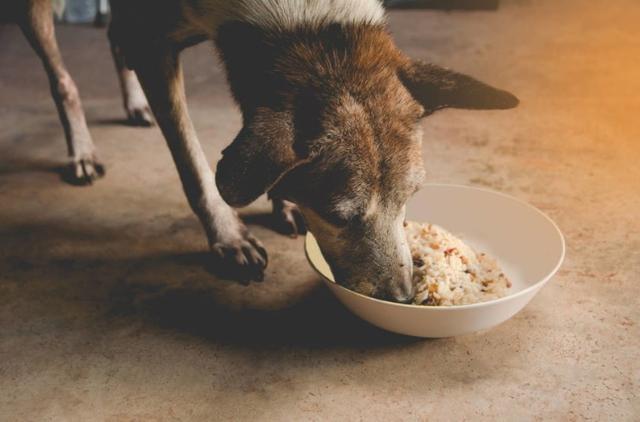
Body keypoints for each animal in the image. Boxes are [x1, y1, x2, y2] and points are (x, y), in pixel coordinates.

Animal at [5, 0, 516, 304]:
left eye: (410, 199)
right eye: (340, 216)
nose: (403, 297)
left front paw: (283, 201)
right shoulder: (156, 46)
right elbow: (194, 165)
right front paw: (228, 236)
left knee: (114, 37)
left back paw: (133, 105)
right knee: (62, 78)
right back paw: (81, 150)